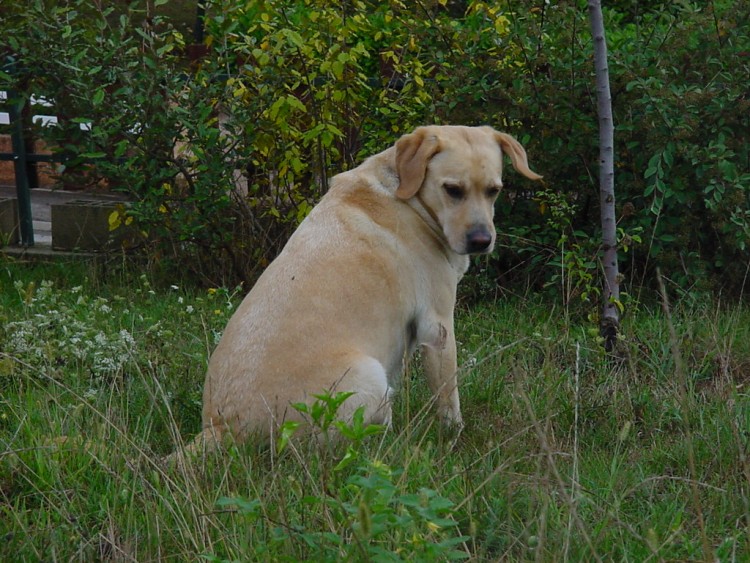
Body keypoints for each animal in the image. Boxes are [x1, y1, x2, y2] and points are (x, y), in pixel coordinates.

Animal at [184, 125, 544, 456]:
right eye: (453, 190)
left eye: (494, 191)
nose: (482, 241)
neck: (411, 198)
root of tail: (220, 429)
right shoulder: (437, 326)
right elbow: (448, 398)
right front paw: (453, 437)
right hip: (370, 375)